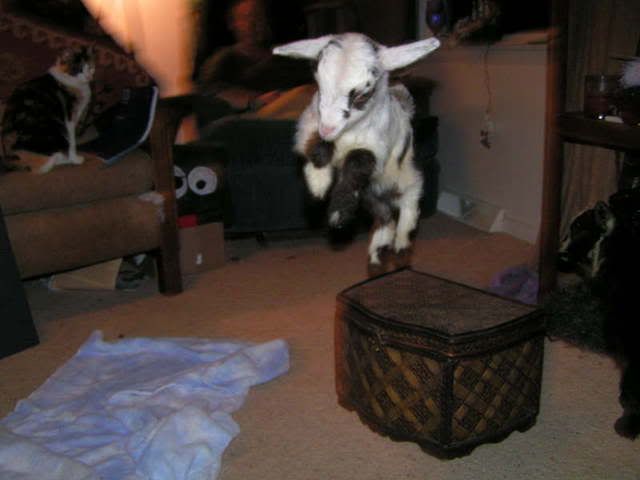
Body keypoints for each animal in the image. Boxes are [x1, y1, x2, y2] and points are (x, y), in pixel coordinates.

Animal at [273, 33, 440, 266]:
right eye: (319, 86)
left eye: (361, 95)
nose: (328, 128)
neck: (347, 132)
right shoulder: (310, 126)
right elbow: (317, 147)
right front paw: (318, 186)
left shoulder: (374, 148)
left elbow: (356, 163)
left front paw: (338, 215)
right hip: (369, 193)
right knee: (384, 215)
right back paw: (378, 253)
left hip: (406, 176)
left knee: (410, 202)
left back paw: (401, 246)